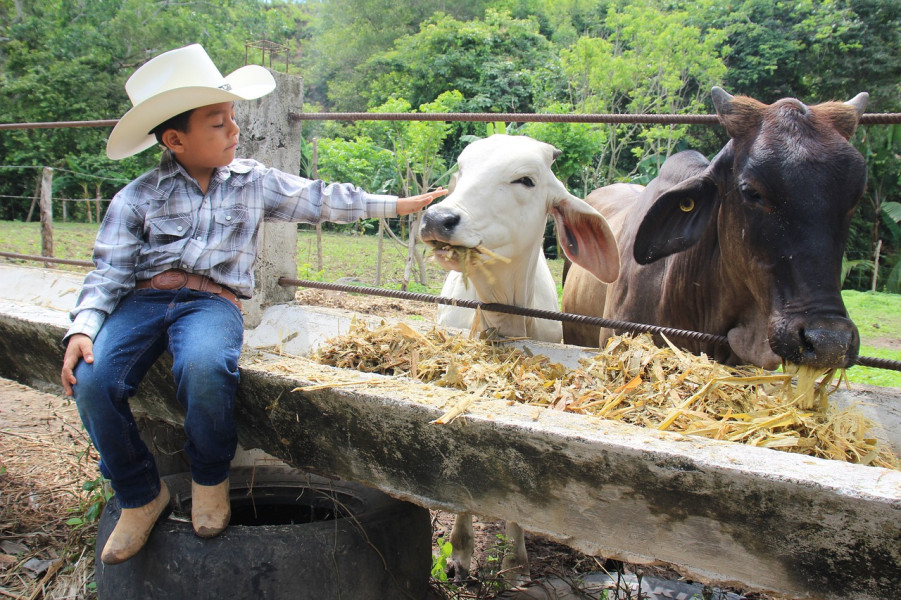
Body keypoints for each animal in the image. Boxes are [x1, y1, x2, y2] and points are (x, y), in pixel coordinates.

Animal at [416, 135, 620, 580]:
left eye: (525, 179)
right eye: (460, 171)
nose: (438, 218)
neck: (504, 314)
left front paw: (514, 561)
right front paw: (460, 553)